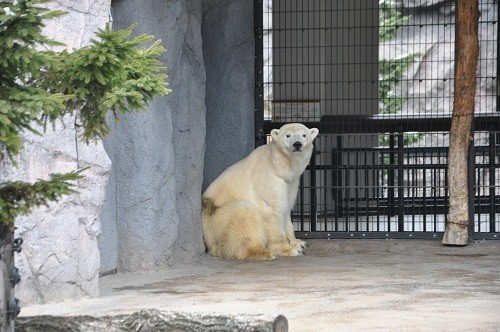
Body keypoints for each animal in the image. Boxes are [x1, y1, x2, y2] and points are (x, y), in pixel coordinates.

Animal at [201, 122, 318, 260]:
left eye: (304, 135)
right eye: (288, 135)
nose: (297, 144)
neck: (279, 164)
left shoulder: (291, 183)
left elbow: (286, 208)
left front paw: (298, 243)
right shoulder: (268, 178)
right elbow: (273, 209)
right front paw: (289, 250)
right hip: (218, 219)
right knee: (244, 214)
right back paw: (263, 252)